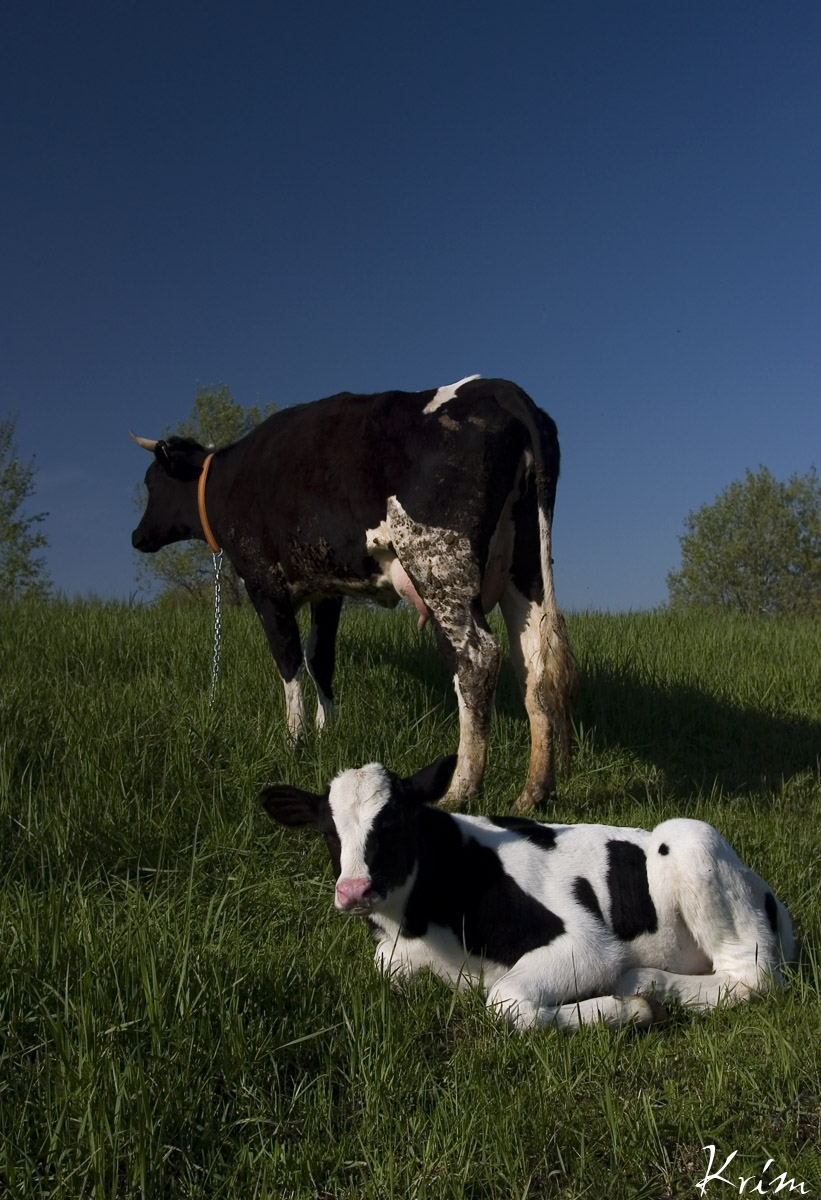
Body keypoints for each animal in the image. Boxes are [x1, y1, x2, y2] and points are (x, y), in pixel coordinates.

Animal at [131, 369, 573, 811]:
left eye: (152, 482)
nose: (137, 536)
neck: (229, 479)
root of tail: (496, 386)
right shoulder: (328, 590)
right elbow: (320, 658)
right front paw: (326, 732)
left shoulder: (264, 584)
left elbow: (288, 659)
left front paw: (295, 739)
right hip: (525, 570)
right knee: (534, 665)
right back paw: (534, 792)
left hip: (440, 567)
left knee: (477, 660)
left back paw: (460, 790)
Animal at [258, 758, 796, 1032]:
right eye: (328, 832)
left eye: (392, 822)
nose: (354, 891)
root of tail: (766, 890)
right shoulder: (392, 957)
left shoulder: (586, 946)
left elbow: (506, 1002)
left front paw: (629, 1011)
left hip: (694, 840)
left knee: (753, 978)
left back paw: (646, 985)